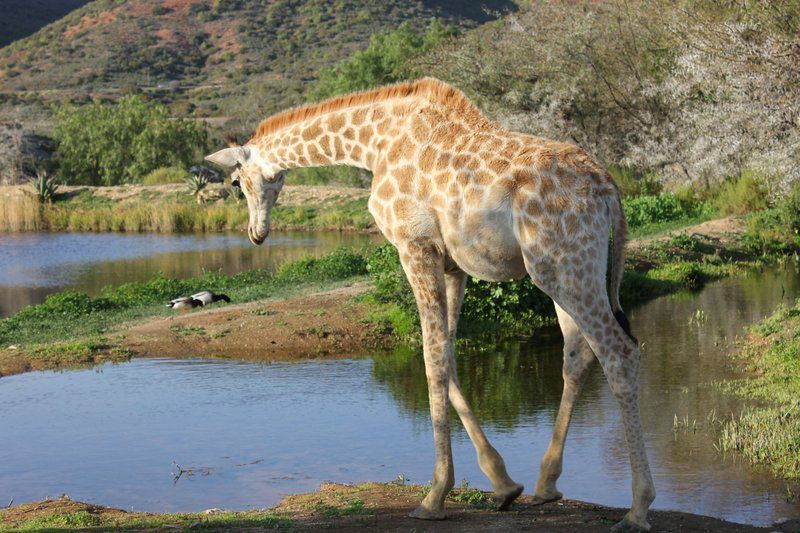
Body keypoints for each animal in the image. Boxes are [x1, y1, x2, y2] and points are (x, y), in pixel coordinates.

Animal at [206, 77, 656, 528]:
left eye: (235, 184)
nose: (256, 233)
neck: (374, 145)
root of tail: (608, 189)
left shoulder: (415, 245)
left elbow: (430, 356)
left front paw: (435, 495)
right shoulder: (453, 264)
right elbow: (448, 354)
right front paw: (502, 483)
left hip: (561, 266)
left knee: (619, 351)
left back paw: (638, 507)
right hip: (570, 269)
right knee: (578, 353)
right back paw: (546, 484)